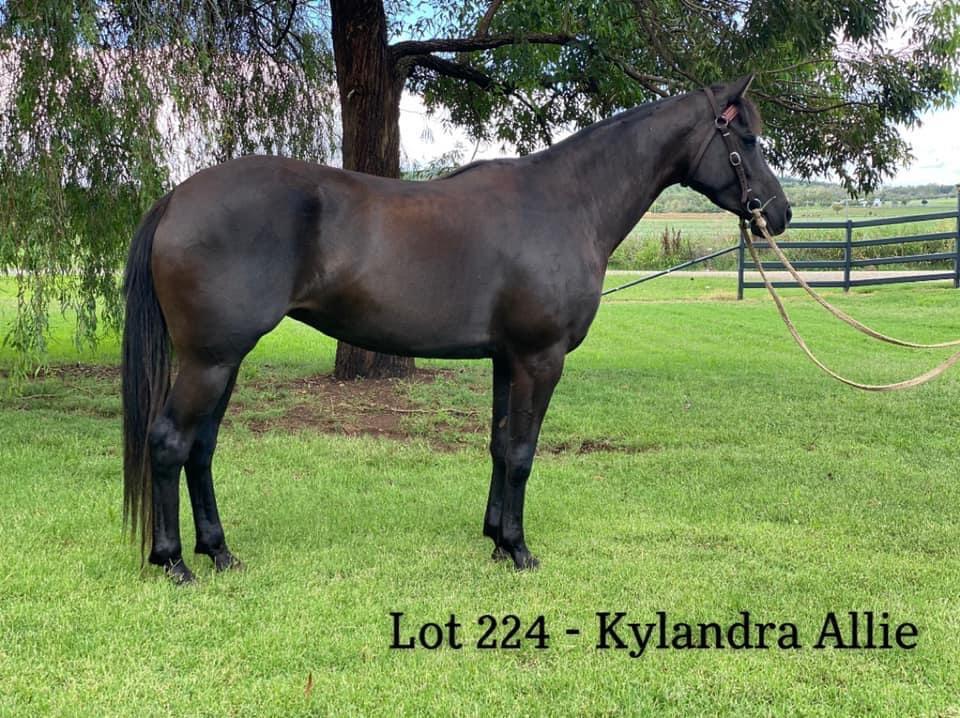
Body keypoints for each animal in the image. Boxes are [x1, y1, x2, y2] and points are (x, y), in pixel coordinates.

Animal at [122, 74, 792, 582]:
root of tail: (177, 198)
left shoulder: (507, 359)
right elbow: (521, 452)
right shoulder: (539, 358)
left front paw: (494, 538)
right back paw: (174, 562)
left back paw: (219, 552)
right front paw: (519, 550)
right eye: (747, 137)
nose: (779, 214)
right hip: (209, 360)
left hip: (225, 360)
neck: (567, 203)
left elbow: (498, 445)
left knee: (201, 448)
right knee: (171, 442)